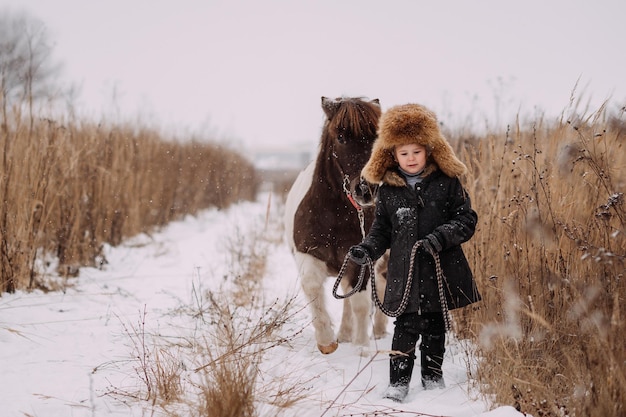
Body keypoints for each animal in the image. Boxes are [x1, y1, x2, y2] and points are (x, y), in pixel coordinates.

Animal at [282, 96, 386, 352]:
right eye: (340, 137)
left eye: (376, 137)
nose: (366, 190)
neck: (335, 215)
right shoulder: (308, 253)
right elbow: (312, 286)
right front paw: (327, 341)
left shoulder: (363, 262)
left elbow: (360, 303)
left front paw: (362, 347)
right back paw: (345, 334)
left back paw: (377, 332)